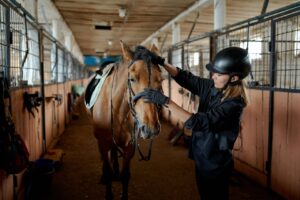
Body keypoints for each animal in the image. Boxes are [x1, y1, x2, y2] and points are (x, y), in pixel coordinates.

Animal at [90, 41, 163, 199]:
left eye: (161, 80)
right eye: (132, 79)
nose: (151, 127)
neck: (119, 111)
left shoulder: (129, 147)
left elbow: (125, 176)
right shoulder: (103, 143)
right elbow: (108, 171)